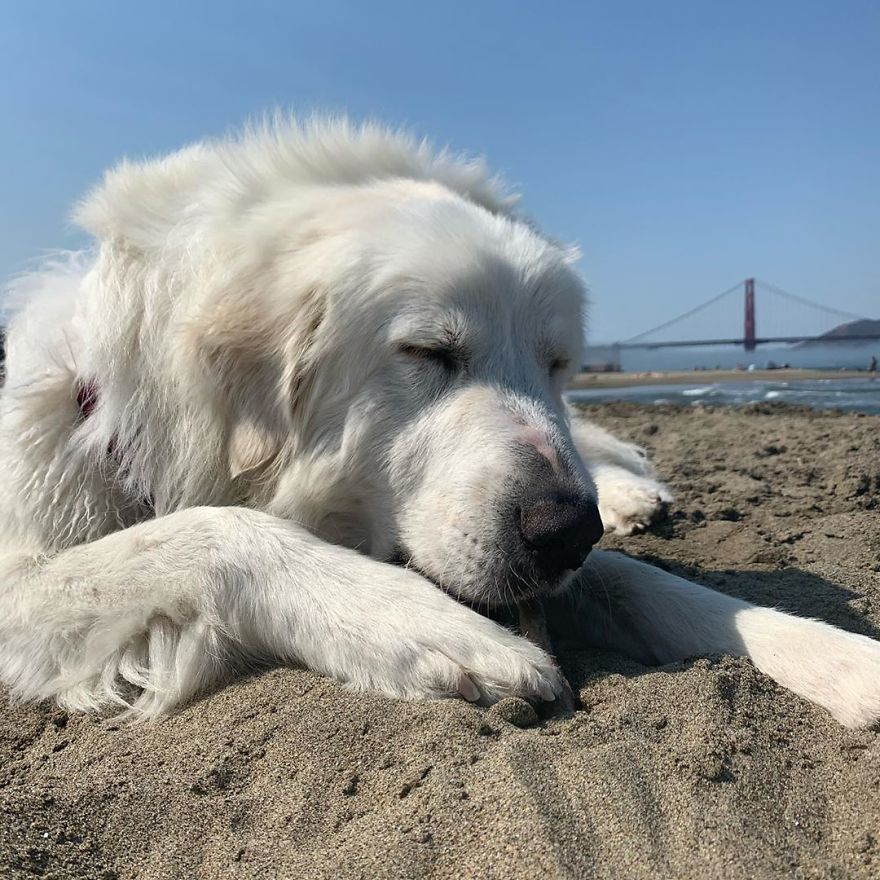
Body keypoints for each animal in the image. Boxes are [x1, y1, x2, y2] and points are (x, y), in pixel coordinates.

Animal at [0, 118, 876, 728]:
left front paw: (833, 655)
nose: (566, 530)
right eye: (430, 351)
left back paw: (635, 500)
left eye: (557, 362)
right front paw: (440, 630)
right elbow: (215, 530)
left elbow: (644, 584)